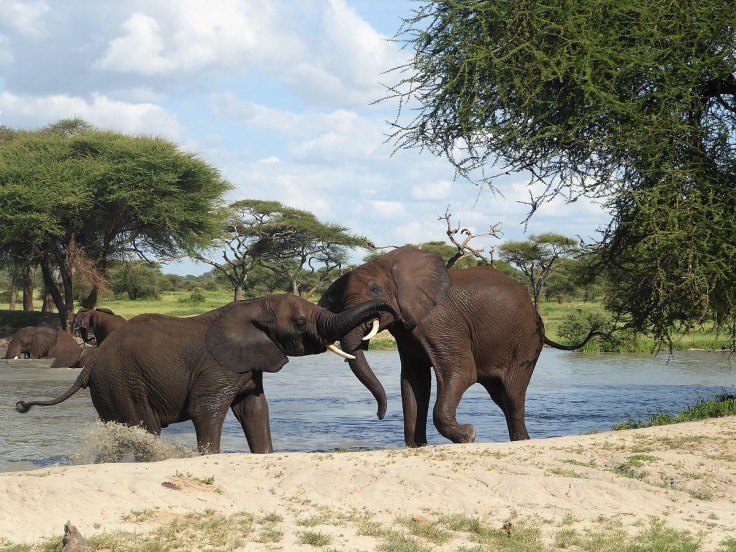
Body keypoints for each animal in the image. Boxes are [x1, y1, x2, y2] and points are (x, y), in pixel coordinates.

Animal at [17, 294, 395, 454]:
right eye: (301, 323)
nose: (379, 416)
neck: (249, 306)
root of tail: (93, 360)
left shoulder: (247, 364)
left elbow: (255, 410)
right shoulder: (218, 366)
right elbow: (207, 411)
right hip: (123, 382)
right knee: (145, 428)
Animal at [318, 246, 597, 447]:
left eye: (376, 290)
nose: (379, 415)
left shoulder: (441, 322)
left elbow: (461, 373)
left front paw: (469, 435)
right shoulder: (407, 332)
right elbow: (414, 382)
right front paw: (417, 446)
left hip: (526, 342)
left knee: (513, 394)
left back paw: (521, 442)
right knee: (501, 397)